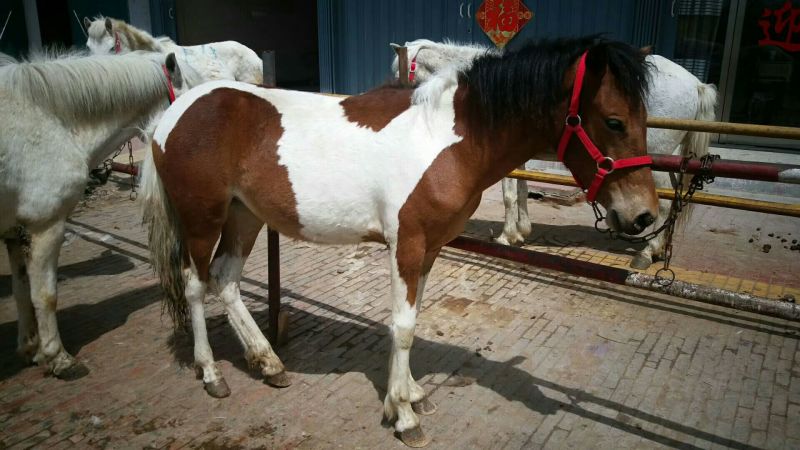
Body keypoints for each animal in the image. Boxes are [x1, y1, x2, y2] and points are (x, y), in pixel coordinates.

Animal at [0, 50, 184, 379]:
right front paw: (59, 358)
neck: (54, 120)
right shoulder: (45, 224)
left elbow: (22, 290)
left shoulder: (15, 230)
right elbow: (44, 295)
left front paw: (30, 348)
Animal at [141, 36, 658, 447]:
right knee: (195, 284)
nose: (643, 215)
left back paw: (269, 364)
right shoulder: (406, 244)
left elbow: (411, 320)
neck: (448, 138)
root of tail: (176, 112)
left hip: (243, 216)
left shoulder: (428, 248)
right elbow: (403, 327)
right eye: (614, 121)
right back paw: (211, 373)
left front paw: (407, 395)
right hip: (202, 219)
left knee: (225, 281)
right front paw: (405, 418)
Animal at [392, 39, 717, 269]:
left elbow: (510, 194)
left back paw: (647, 253)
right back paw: (658, 247)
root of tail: (696, 83)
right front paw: (521, 231)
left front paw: (507, 236)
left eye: (396, 71)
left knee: (663, 202)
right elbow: (522, 191)